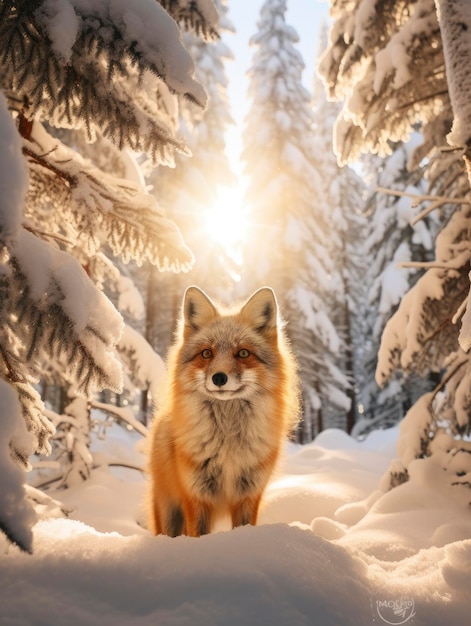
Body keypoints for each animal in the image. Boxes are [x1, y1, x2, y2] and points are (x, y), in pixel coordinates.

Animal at [148, 286, 300, 532]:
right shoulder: (195, 495)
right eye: (206, 353)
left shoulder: (248, 495)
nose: (219, 378)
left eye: (243, 353)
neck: (228, 444)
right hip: (169, 514)